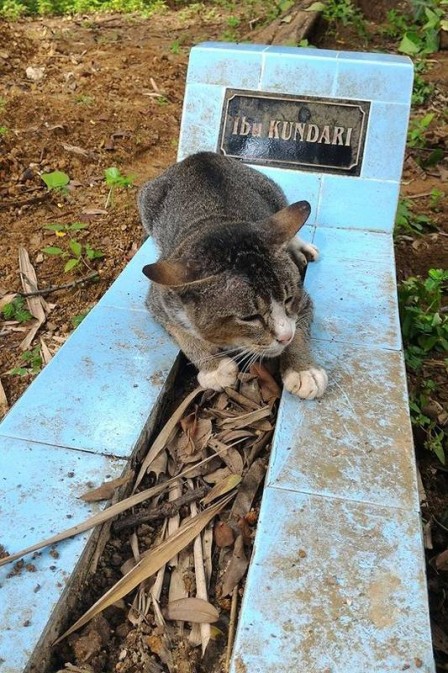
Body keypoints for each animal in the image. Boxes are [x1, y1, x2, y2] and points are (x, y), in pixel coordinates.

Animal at [138, 150, 328, 396]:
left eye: (288, 299)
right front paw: (213, 367)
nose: (285, 336)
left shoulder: (303, 299)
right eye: (249, 318)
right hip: (146, 201)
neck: (215, 223)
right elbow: (182, 333)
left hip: (271, 189)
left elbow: (300, 326)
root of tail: (199, 156)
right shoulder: (160, 298)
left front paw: (303, 369)